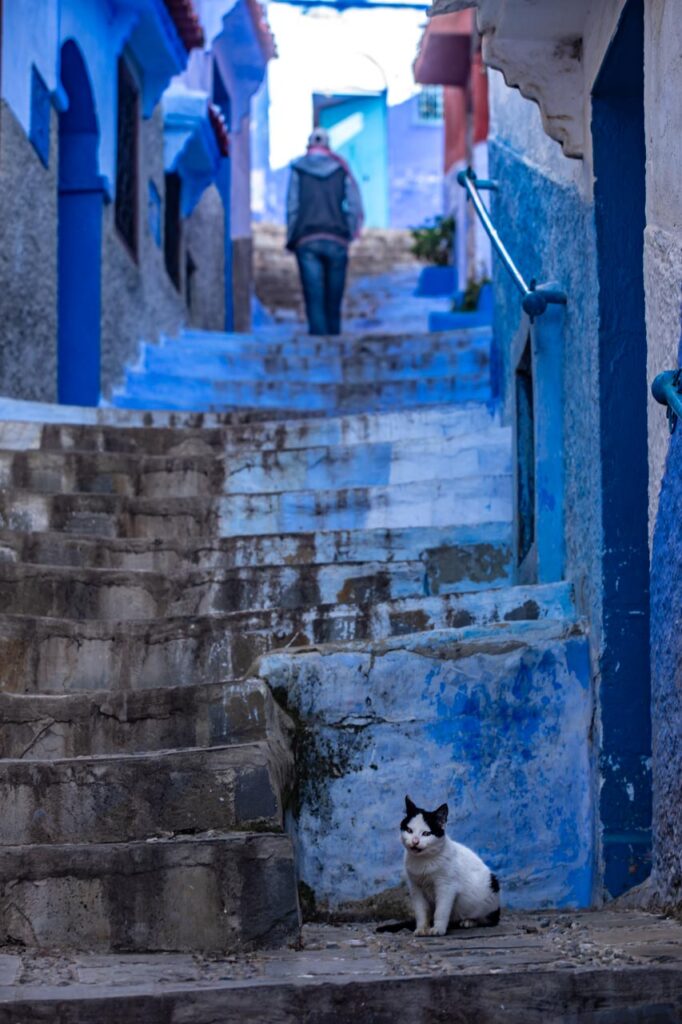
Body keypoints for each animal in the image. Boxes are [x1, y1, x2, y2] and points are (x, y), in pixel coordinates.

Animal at [376, 790, 499, 937]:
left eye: (426, 833)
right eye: (410, 830)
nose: (415, 841)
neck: (423, 860)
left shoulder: (446, 886)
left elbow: (441, 910)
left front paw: (438, 929)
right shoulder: (415, 887)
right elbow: (421, 911)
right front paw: (422, 928)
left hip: (490, 894)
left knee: (489, 919)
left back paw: (469, 921)